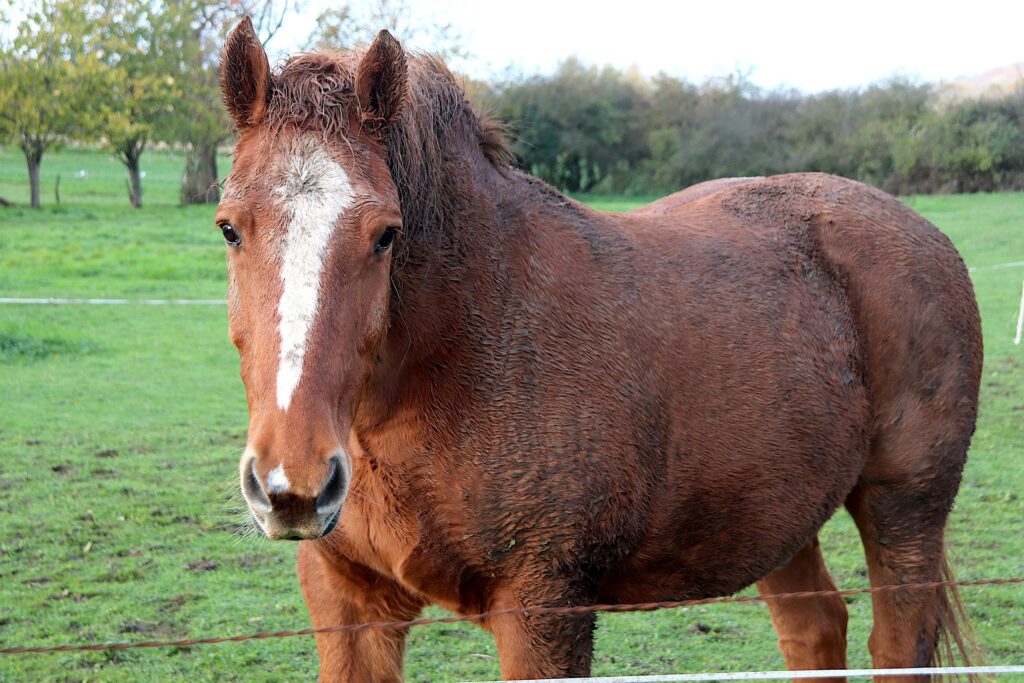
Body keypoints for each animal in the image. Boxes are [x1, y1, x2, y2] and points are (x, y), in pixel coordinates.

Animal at [216, 17, 983, 683]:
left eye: (384, 233)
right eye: (229, 227)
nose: (292, 482)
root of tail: (924, 233)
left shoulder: (544, 610)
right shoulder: (349, 604)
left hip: (904, 510)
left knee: (897, 642)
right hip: (779, 516)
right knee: (816, 628)